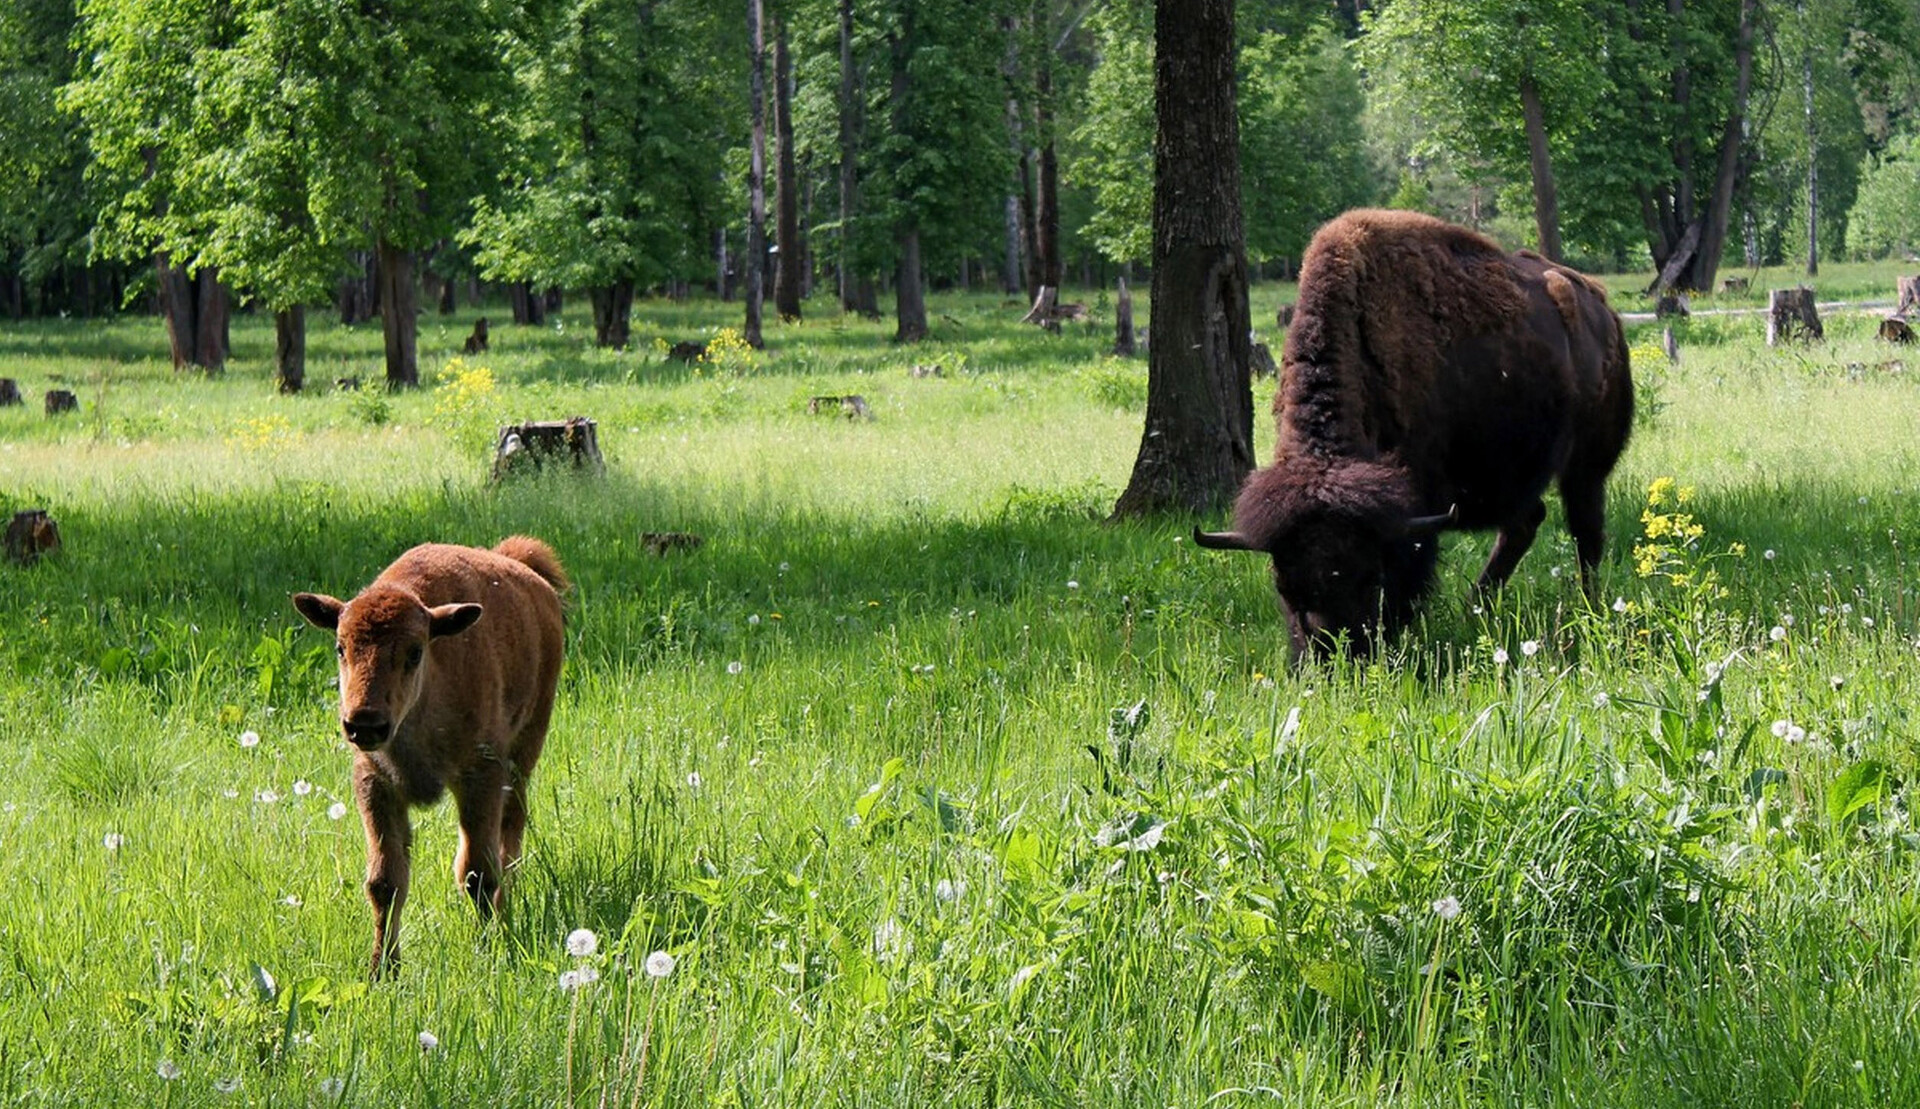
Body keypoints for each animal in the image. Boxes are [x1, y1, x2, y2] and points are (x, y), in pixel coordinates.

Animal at [289, 537, 560, 974]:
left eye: (415, 652)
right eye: (340, 647)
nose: (364, 723)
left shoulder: (480, 776)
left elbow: (478, 872)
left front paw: (488, 949)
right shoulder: (376, 785)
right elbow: (385, 881)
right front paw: (382, 969)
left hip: (525, 751)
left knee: (510, 839)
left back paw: (505, 913)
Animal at [1198, 207, 1635, 656]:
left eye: (1370, 576)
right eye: (1283, 585)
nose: (1332, 650)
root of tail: (1604, 310)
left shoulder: (1417, 508)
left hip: (1586, 467)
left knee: (1585, 532)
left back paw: (1587, 608)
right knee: (1524, 525)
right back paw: (1475, 608)